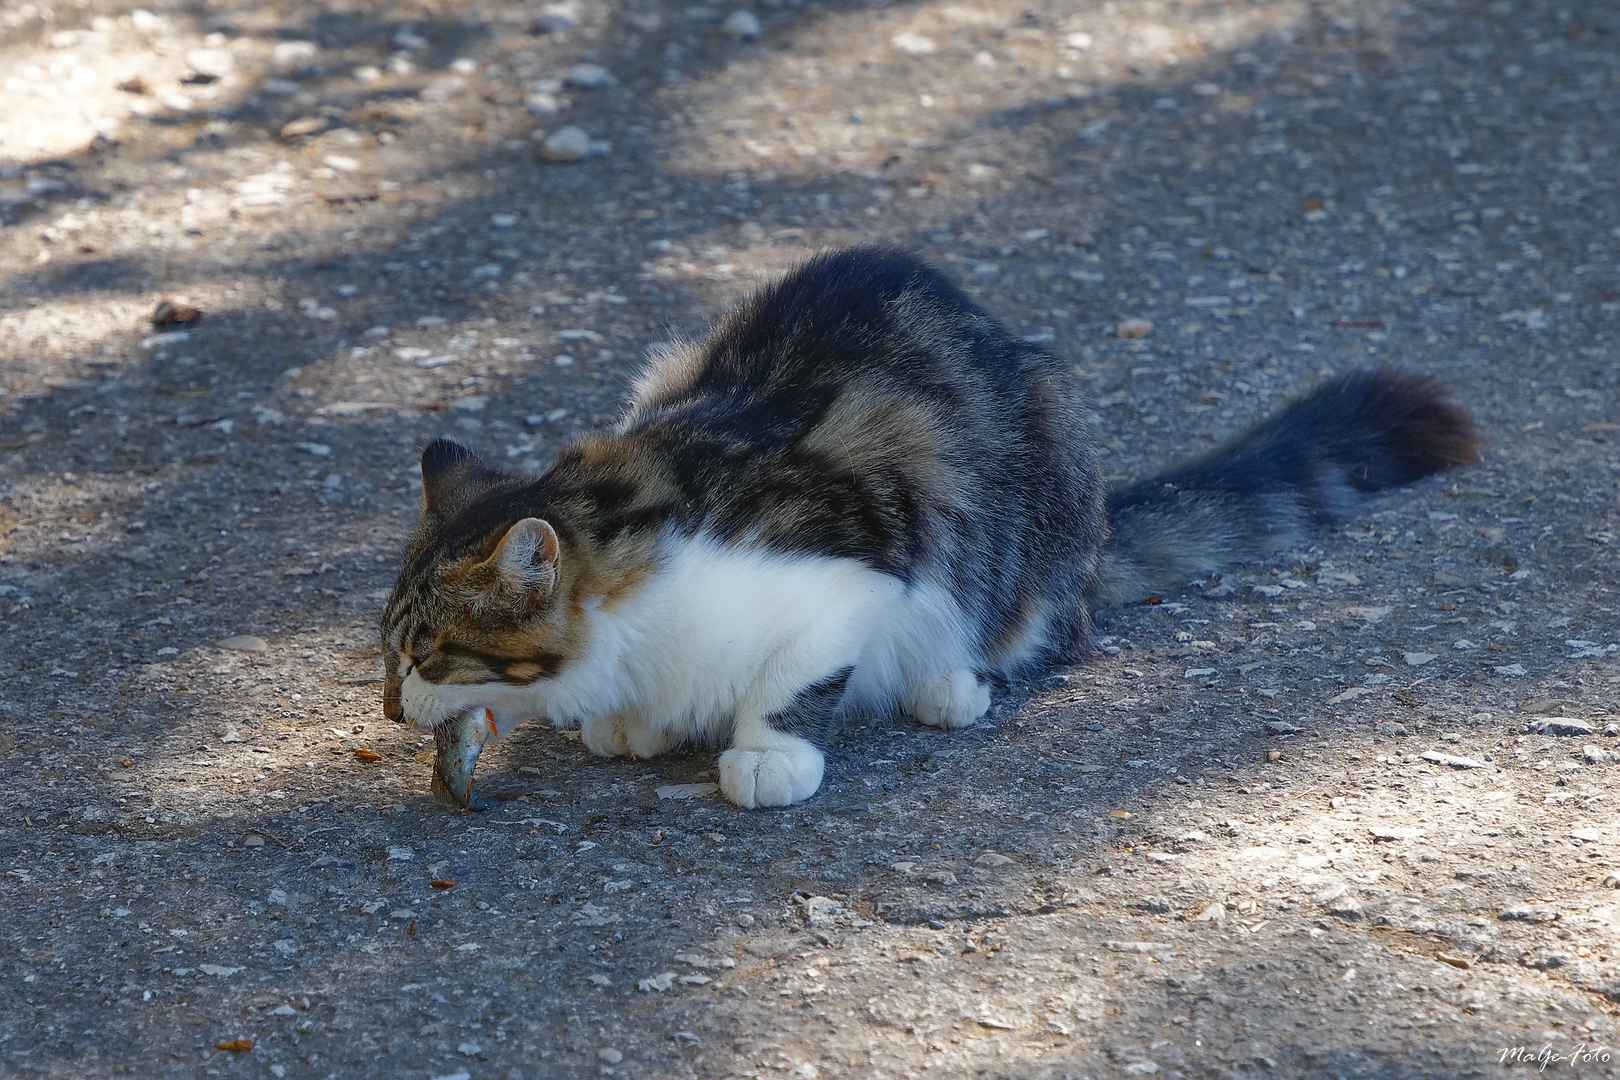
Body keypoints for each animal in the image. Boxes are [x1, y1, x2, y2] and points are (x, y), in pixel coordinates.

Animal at [382, 242, 1483, 803]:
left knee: (1040, 629)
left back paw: (951, 680)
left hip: (1033, 519)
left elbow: (791, 678)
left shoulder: (863, 563)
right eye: (389, 652)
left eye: (429, 653)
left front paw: (767, 752)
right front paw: (638, 720)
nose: (392, 712)